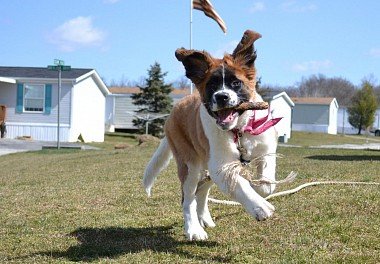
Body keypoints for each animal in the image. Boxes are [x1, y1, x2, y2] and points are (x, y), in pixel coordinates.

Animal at [144, 29, 280, 240]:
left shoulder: (266, 148)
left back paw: (204, 219)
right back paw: (193, 229)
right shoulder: (220, 166)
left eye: (236, 83)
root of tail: (175, 109)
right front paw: (259, 207)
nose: (222, 96)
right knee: (188, 198)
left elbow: (266, 183)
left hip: (206, 169)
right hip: (189, 165)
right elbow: (241, 186)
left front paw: (259, 188)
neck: (238, 131)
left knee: (201, 191)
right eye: (211, 85)